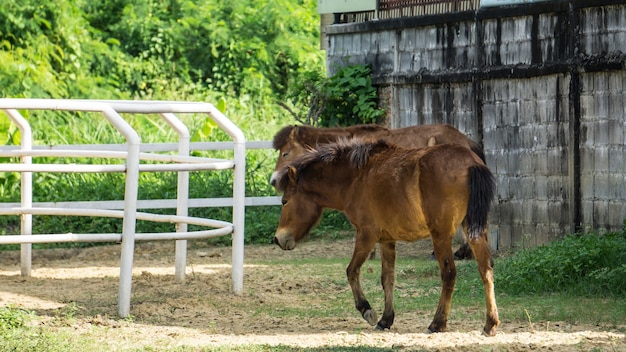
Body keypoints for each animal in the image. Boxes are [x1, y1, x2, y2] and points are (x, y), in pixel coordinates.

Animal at [272, 138, 498, 336]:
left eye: (285, 201)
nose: (278, 238)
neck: (356, 177)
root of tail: (470, 163)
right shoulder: (387, 240)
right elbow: (387, 278)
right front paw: (386, 319)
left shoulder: (366, 235)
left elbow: (351, 271)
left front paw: (367, 310)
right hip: (475, 232)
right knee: (485, 270)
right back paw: (490, 324)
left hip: (441, 236)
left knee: (449, 273)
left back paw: (437, 323)